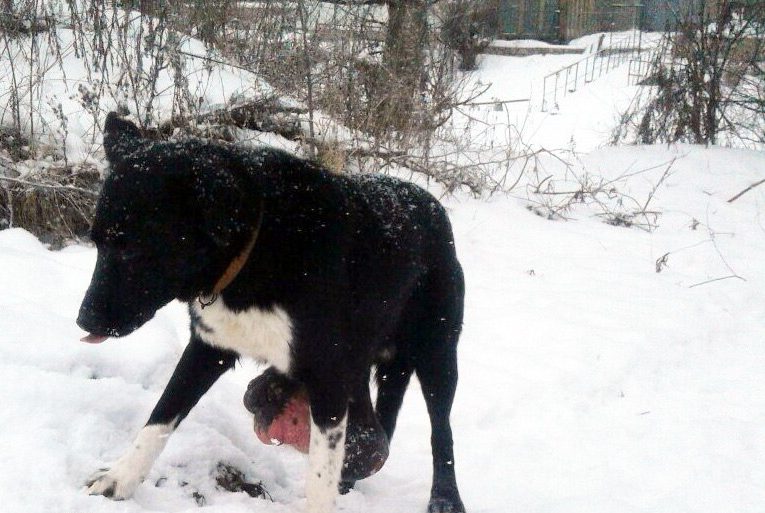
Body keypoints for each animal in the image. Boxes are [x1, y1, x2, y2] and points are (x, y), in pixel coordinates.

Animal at [80, 113, 468, 512]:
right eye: (96, 242)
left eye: (131, 250)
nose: (84, 320)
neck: (257, 246)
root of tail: (432, 206)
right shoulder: (208, 348)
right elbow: (161, 416)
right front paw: (120, 478)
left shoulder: (328, 377)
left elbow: (320, 475)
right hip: (360, 358)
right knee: (373, 428)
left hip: (437, 355)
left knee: (441, 432)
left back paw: (445, 497)